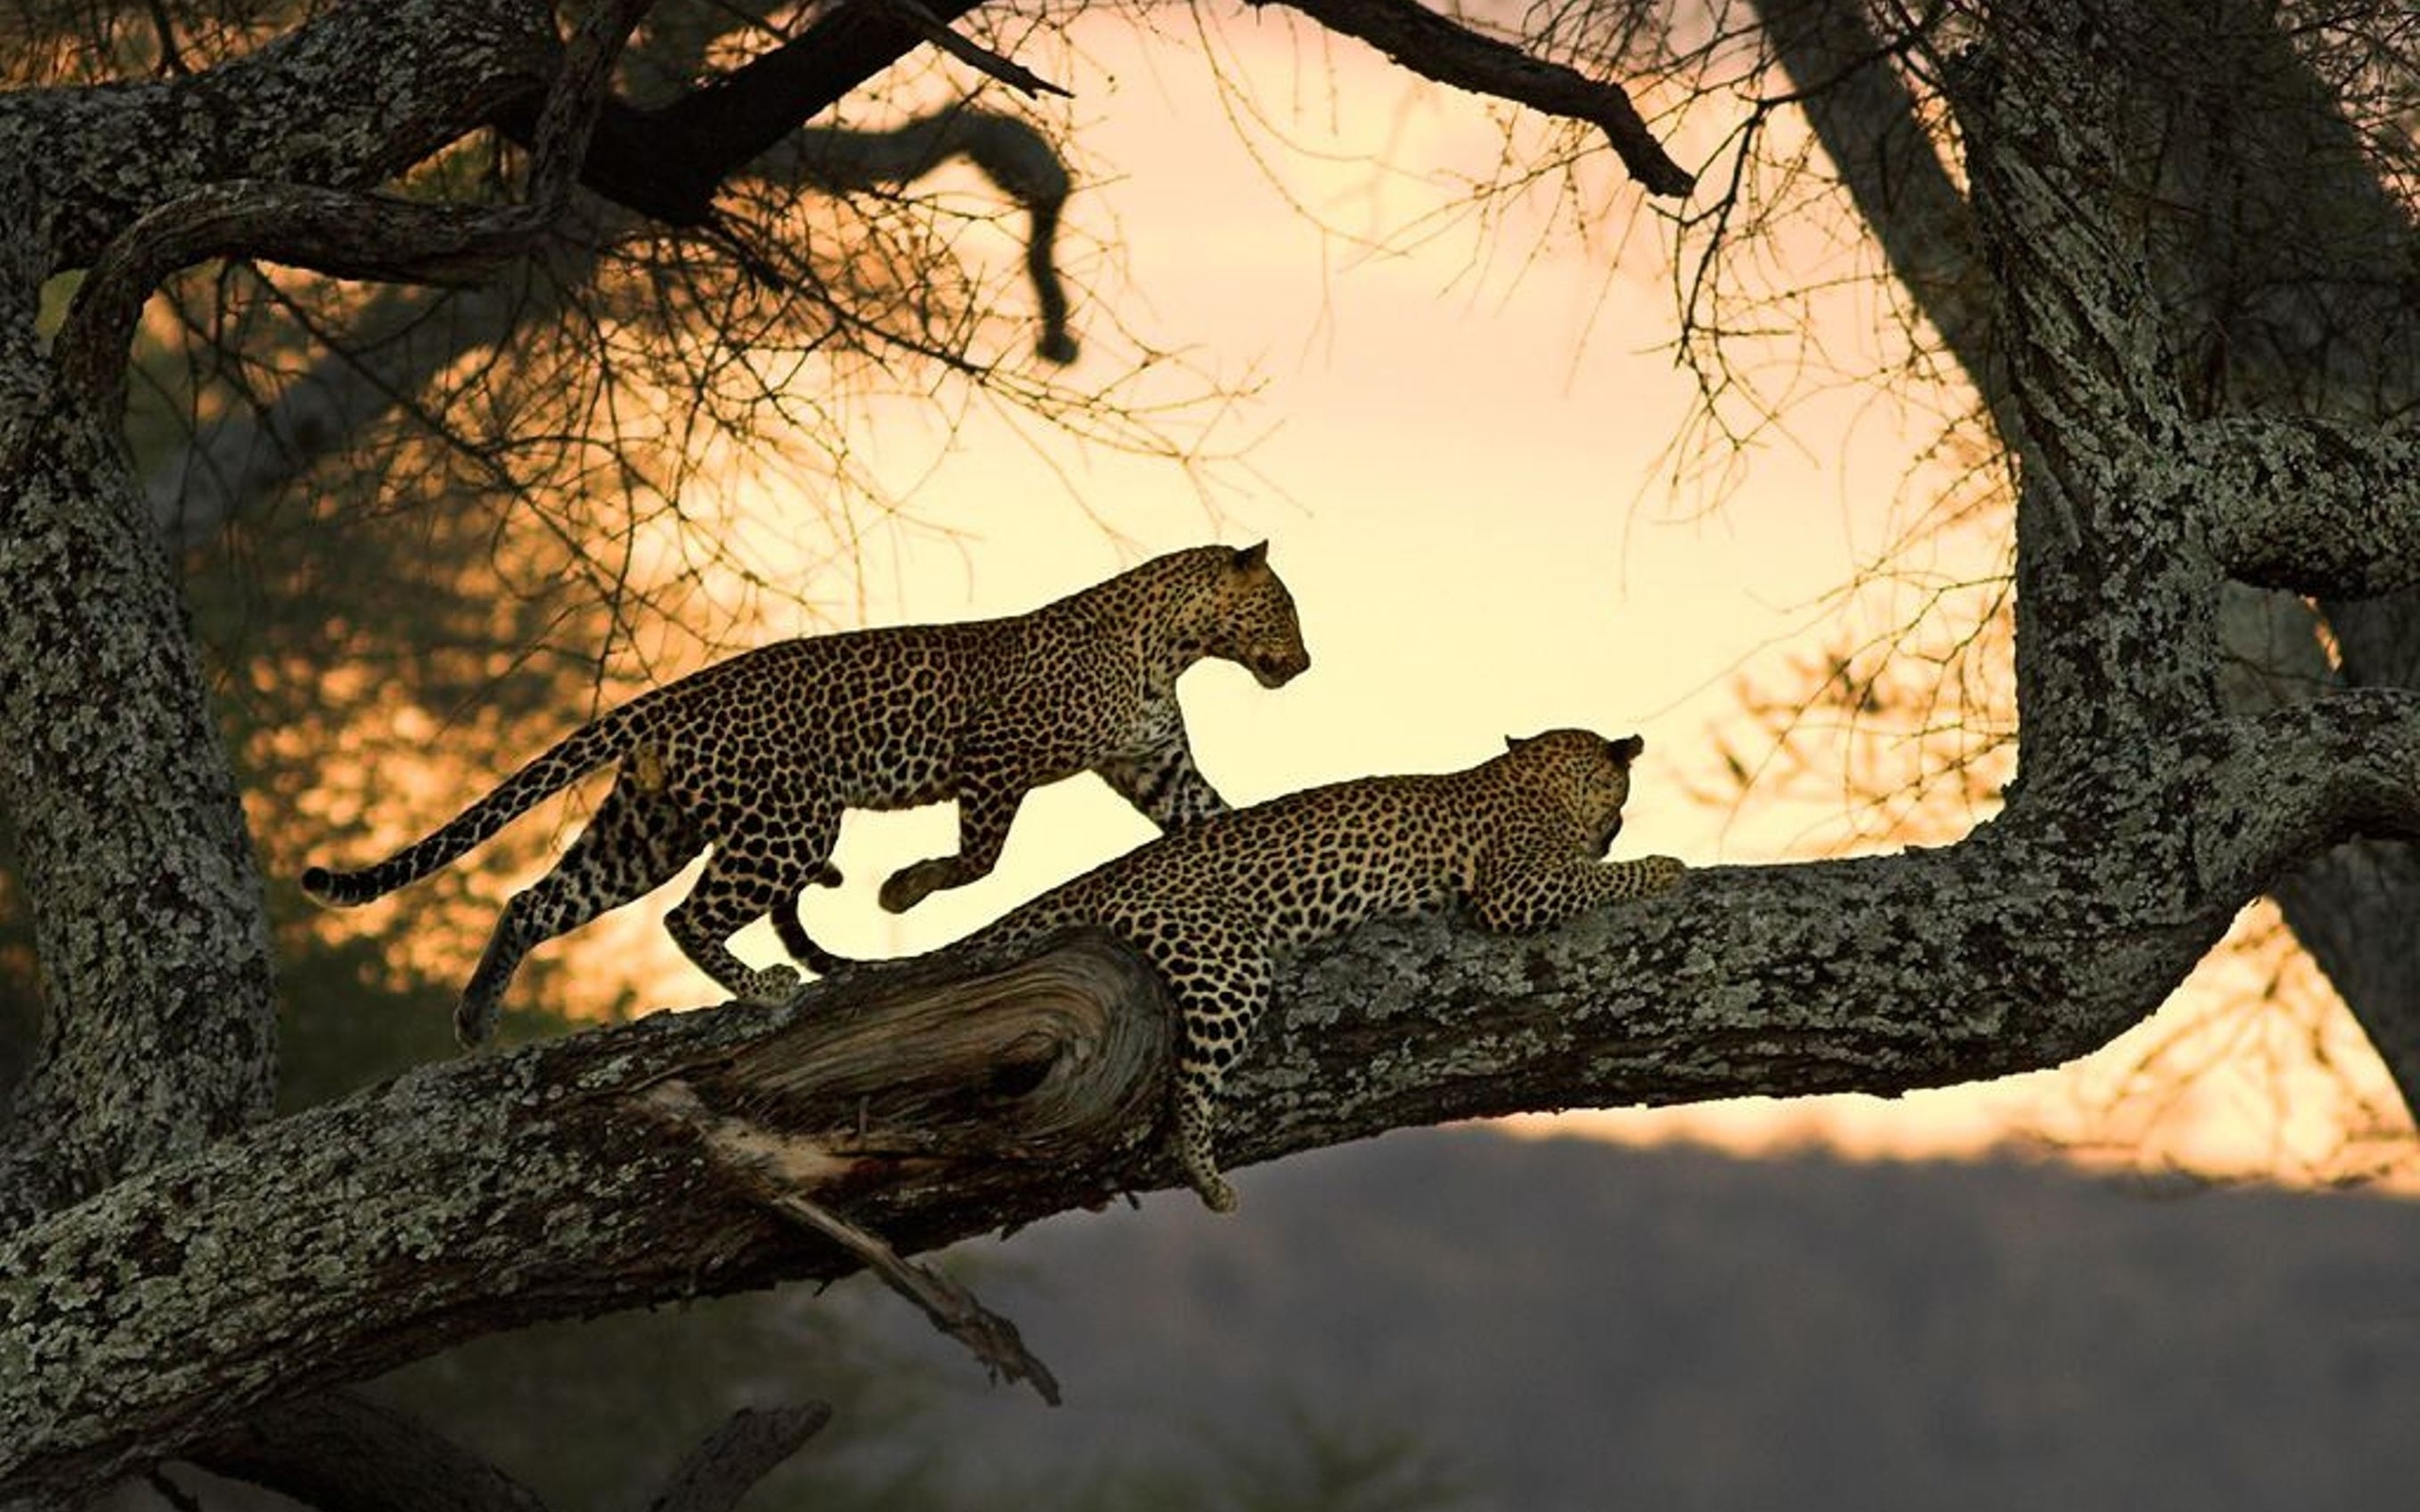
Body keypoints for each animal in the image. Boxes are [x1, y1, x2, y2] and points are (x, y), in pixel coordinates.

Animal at [314, 544, 1325, 1050]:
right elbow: (979, 856)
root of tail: (682, 689)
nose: (1309, 661)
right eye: (1284, 609)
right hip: (790, 826)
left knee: (535, 899)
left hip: (647, 829)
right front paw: (900, 893)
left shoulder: (1156, 767)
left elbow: (1217, 820)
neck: (1172, 647)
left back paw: (476, 1017)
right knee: (687, 916)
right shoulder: (994, 758)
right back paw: (762, 988)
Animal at [793, 726, 1684, 1210]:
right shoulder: (1518, 887)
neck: (1530, 777)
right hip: (1227, 962)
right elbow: (1597, 875)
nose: (1620, 821)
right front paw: (1666, 865)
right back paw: (1208, 1178)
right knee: (1188, 1093)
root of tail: (1100, 878)